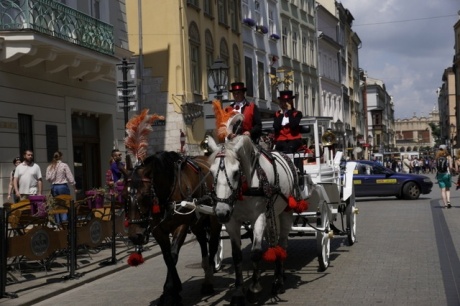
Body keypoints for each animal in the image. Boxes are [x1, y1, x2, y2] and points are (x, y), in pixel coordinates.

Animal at [121, 152, 222, 304]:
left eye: (145, 195)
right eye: (124, 196)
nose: (135, 236)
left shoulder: (181, 226)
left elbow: (173, 255)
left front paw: (171, 290)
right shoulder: (158, 231)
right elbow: (167, 258)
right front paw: (170, 291)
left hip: (214, 219)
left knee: (214, 245)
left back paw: (208, 282)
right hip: (197, 222)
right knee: (203, 242)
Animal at [208, 135, 298, 304]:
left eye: (236, 172)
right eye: (211, 172)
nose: (221, 213)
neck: (244, 189)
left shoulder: (259, 217)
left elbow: (256, 252)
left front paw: (254, 289)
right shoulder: (232, 222)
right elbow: (237, 256)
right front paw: (238, 292)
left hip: (286, 211)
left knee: (282, 243)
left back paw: (279, 281)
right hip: (272, 215)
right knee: (273, 242)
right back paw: (278, 275)